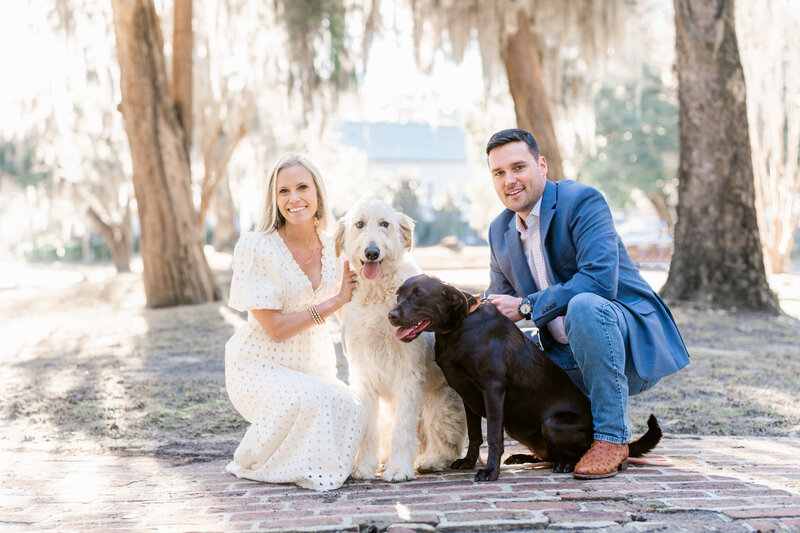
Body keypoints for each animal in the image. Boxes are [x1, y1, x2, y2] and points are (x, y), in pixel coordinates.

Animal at [334, 198, 466, 482]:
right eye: (359, 224)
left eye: (385, 224)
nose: (372, 252)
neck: (376, 293)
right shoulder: (363, 375)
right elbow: (368, 428)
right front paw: (363, 467)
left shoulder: (407, 374)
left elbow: (404, 428)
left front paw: (398, 469)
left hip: (440, 405)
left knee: (446, 442)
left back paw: (431, 460)